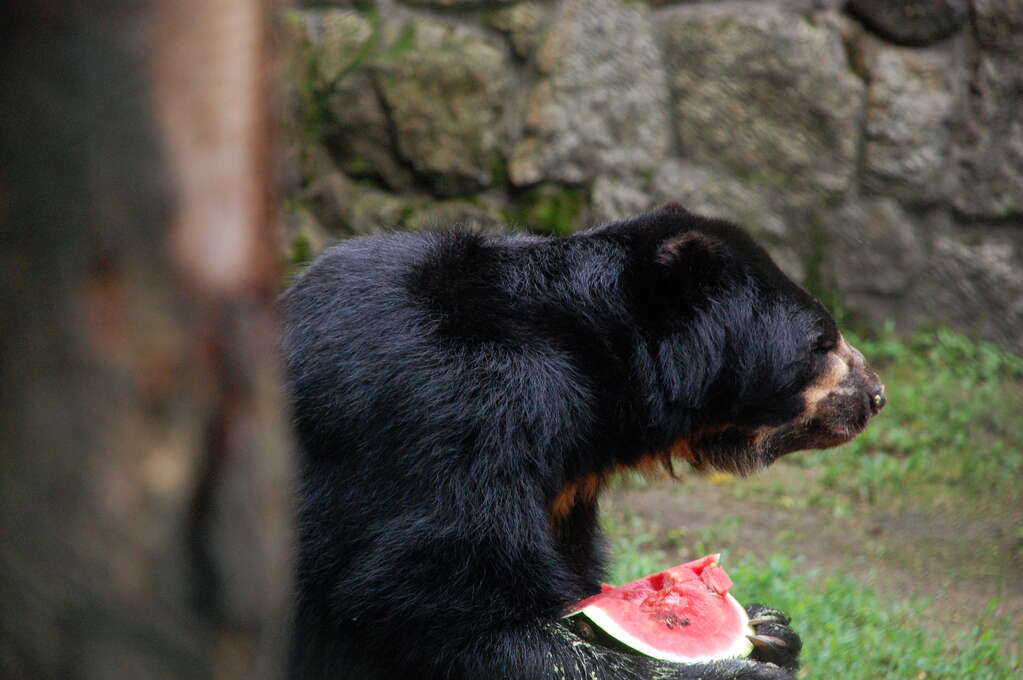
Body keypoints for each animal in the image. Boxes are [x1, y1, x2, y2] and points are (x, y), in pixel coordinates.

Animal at [282, 202, 887, 678]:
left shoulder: (562, 482)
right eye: (820, 342)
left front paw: (773, 629)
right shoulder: (457, 413)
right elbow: (449, 604)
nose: (876, 394)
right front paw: (738, 668)